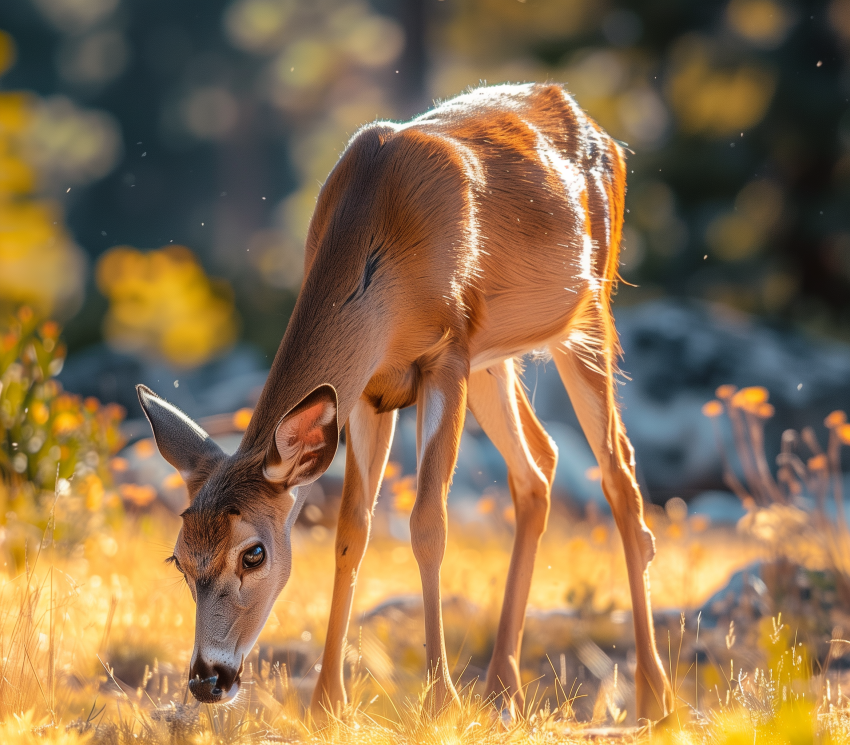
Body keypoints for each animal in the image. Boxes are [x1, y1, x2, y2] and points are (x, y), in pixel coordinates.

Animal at [136, 82, 674, 723]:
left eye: (254, 554)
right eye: (178, 558)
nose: (207, 680)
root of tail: (601, 132)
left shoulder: (446, 355)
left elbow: (427, 524)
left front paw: (440, 701)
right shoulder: (370, 390)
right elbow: (352, 531)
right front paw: (326, 704)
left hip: (588, 314)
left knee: (620, 472)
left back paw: (654, 696)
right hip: (495, 360)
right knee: (539, 466)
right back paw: (503, 689)